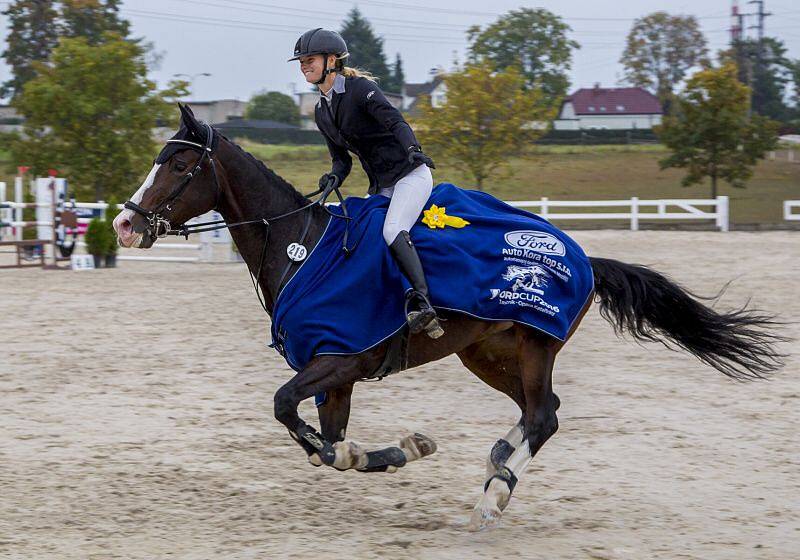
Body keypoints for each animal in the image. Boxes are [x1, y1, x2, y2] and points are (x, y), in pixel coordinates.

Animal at [109, 107, 784, 532]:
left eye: (178, 166)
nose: (124, 225)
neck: (301, 247)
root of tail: (585, 256)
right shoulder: (336, 375)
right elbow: (325, 446)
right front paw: (398, 451)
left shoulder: (337, 359)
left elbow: (289, 415)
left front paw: (402, 450)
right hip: (486, 352)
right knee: (542, 412)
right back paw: (497, 465)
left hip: (534, 346)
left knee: (543, 416)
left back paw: (494, 497)